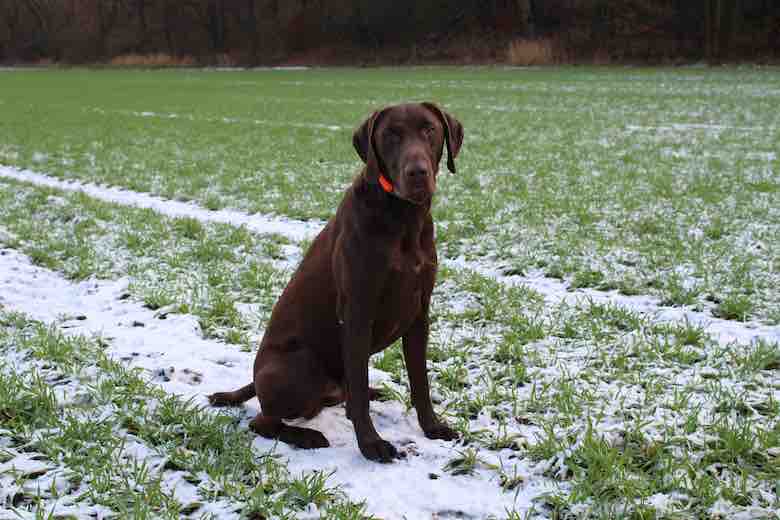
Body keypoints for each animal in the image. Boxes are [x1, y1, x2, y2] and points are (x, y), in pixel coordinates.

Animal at [207, 102, 464, 464]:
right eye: (391, 134)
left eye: (429, 129)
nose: (417, 173)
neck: (403, 219)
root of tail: (256, 379)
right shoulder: (356, 313)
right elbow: (359, 387)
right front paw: (371, 444)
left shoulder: (419, 314)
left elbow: (420, 382)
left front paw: (432, 426)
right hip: (300, 365)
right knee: (263, 421)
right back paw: (307, 435)